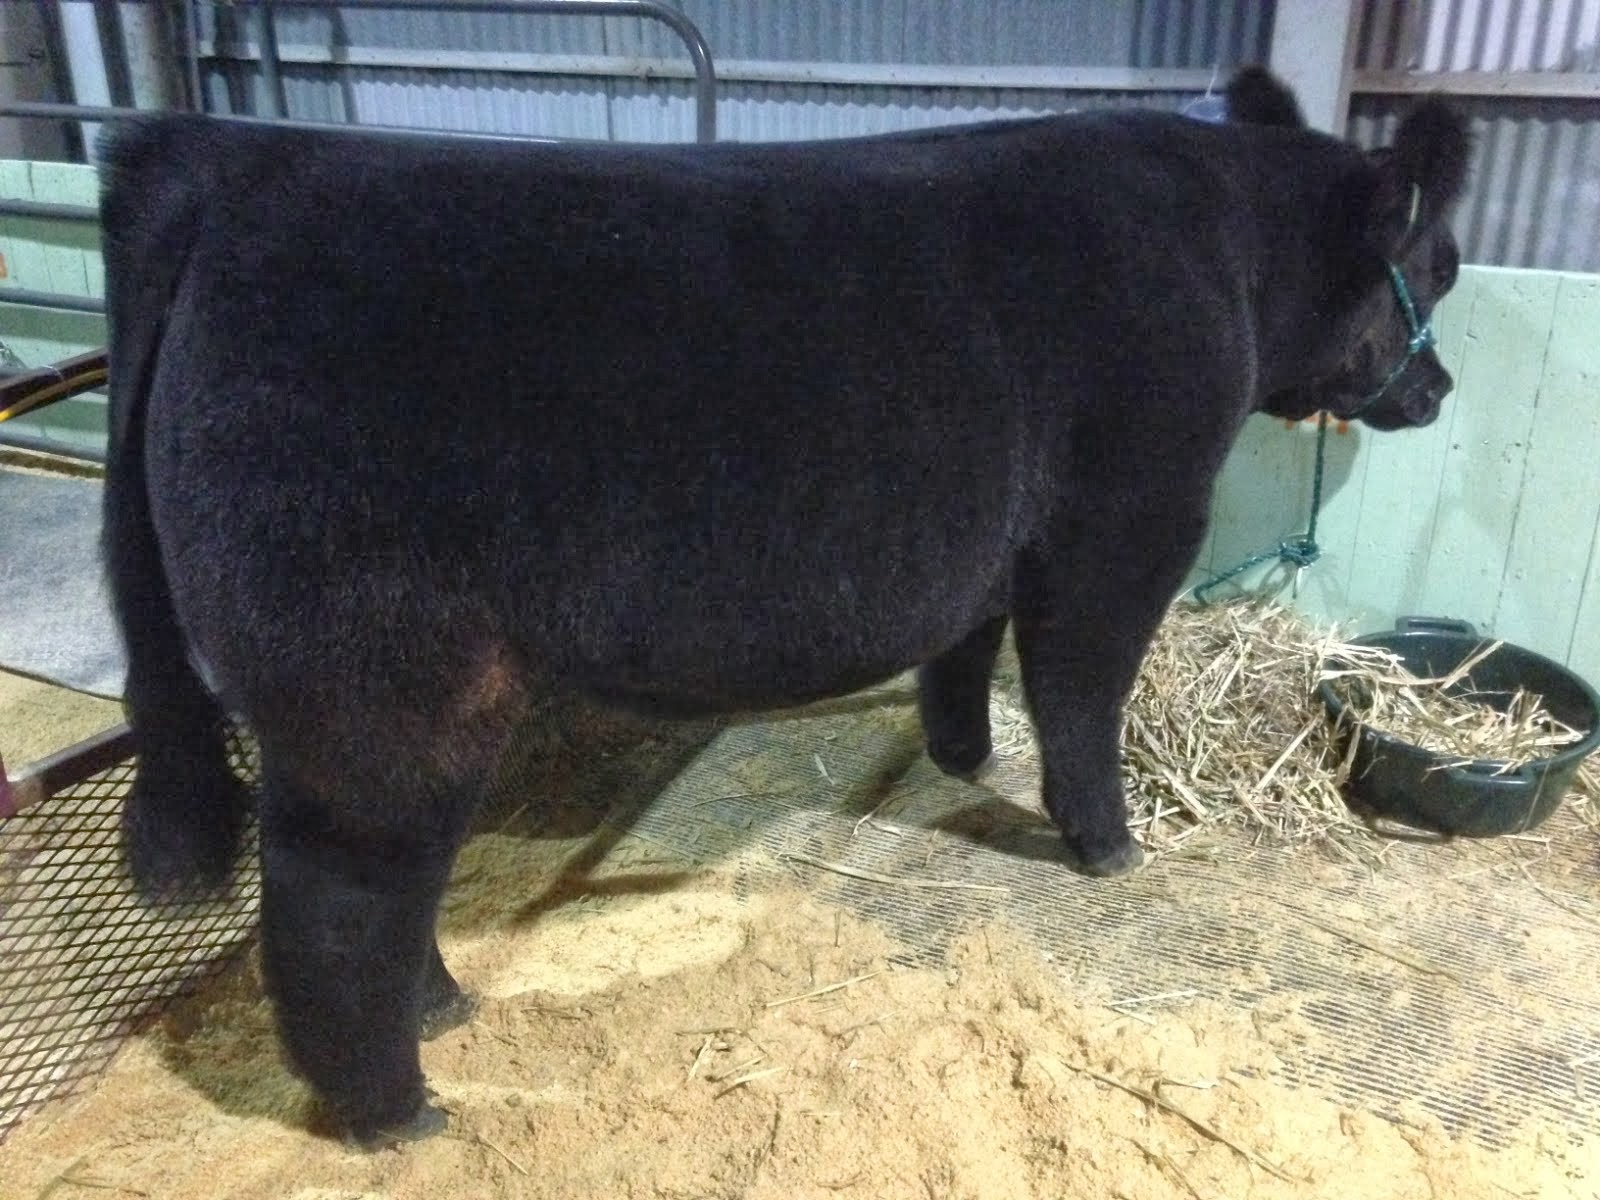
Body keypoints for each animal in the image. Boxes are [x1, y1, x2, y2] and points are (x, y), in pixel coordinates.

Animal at [99, 67, 1469, 1146]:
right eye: (1435, 268)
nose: (1442, 391)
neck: (1224, 250)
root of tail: (232, 162)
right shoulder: (1130, 519)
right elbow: (1081, 690)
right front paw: (1106, 842)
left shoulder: (993, 533)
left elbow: (963, 648)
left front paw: (961, 755)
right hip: (375, 681)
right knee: (333, 901)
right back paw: (397, 1110)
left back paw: (437, 1007)